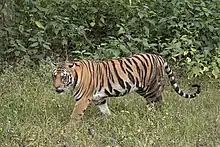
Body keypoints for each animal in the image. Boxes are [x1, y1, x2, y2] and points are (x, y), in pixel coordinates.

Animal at [52, 52, 200, 120]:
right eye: (54, 76)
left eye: (63, 77)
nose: (56, 87)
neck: (74, 79)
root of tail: (159, 57)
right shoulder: (99, 98)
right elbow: (105, 110)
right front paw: (111, 119)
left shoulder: (83, 99)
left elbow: (75, 115)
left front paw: (69, 129)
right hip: (143, 90)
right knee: (152, 103)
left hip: (152, 88)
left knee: (159, 102)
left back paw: (156, 116)